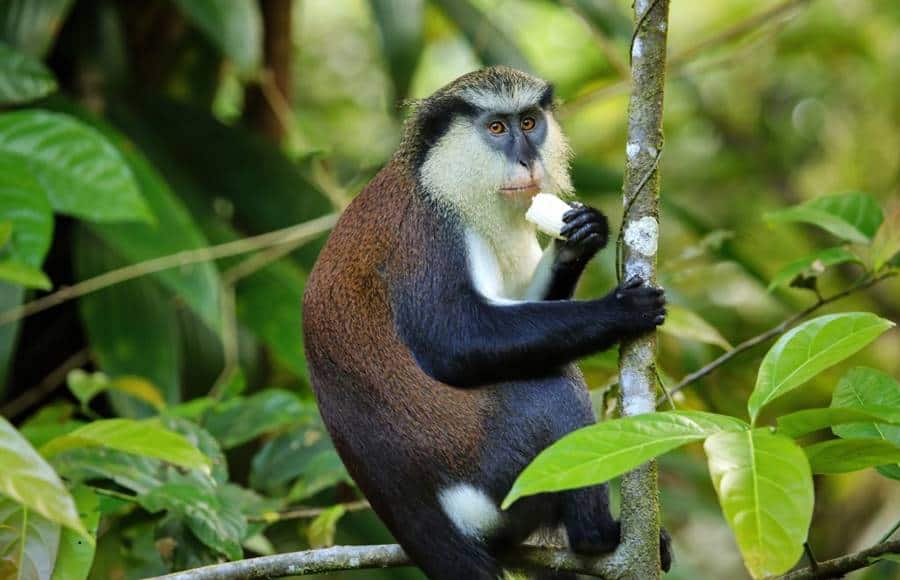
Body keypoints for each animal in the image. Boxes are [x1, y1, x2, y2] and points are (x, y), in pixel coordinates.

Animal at [306, 65, 672, 576]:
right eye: (497, 128)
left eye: (529, 122)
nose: (527, 160)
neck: (437, 177)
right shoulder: (427, 235)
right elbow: (456, 344)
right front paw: (621, 311)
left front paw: (581, 237)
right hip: (501, 480)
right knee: (550, 386)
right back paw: (597, 537)